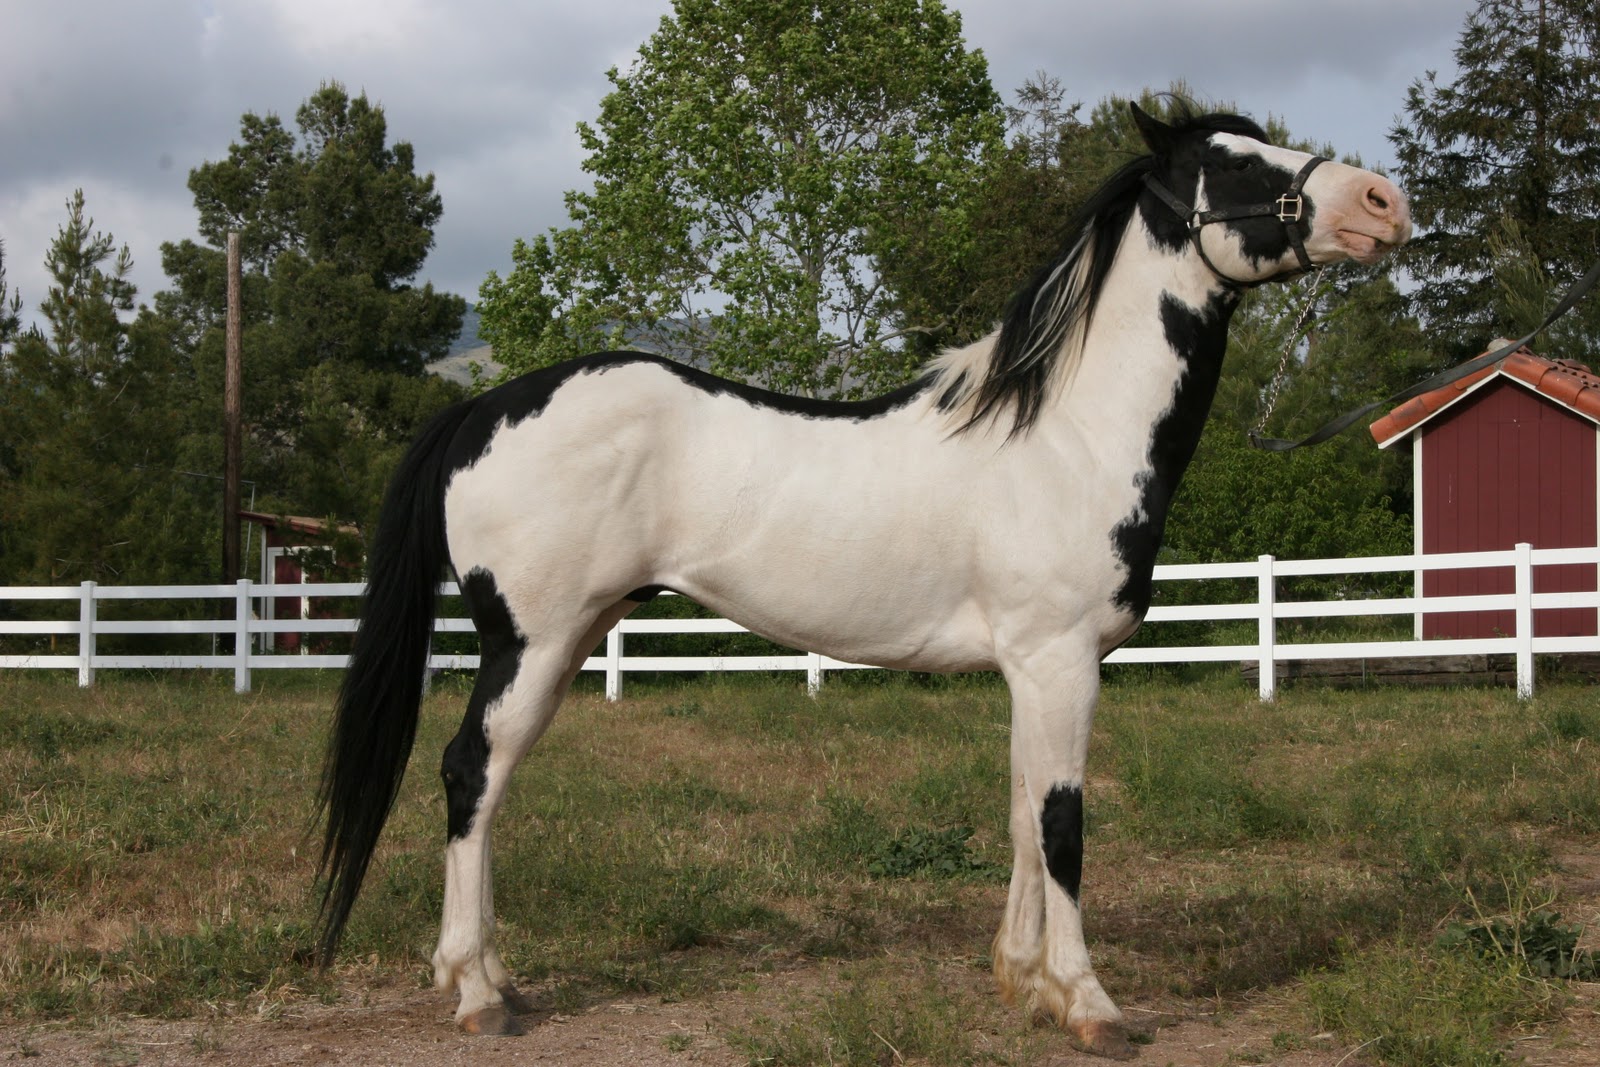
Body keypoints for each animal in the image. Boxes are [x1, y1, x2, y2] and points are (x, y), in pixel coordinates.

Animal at [315, 103, 1410, 1059]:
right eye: (1235, 164)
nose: (1382, 202)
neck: (1067, 437)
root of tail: (486, 404)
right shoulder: (1058, 658)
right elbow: (1062, 821)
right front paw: (1090, 1002)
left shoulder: (1034, 668)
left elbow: (1022, 808)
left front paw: (1026, 982)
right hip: (531, 640)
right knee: (471, 771)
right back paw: (477, 992)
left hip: (569, 638)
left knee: (489, 782)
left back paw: (492, 976)